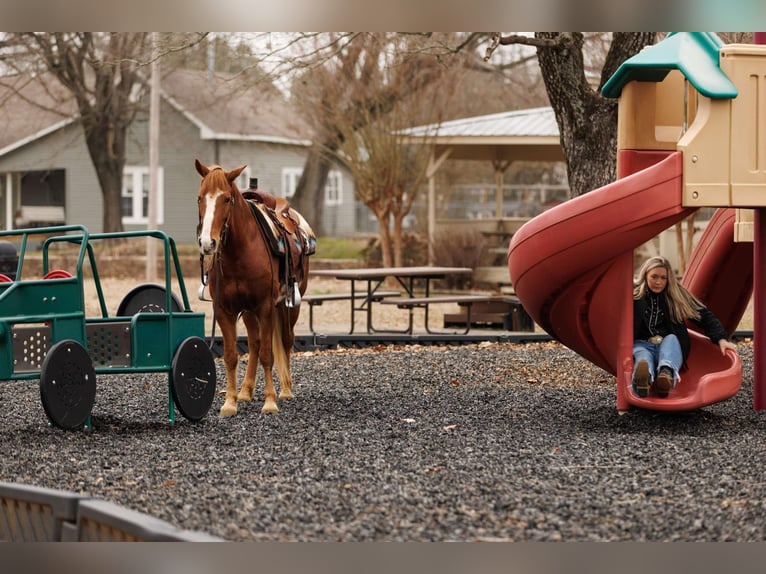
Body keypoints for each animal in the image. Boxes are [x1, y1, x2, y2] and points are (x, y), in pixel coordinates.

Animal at [196, 160, 314, 416]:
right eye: (200, 197)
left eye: (226, 199)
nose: (208, 243)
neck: (240, 252)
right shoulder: (225, 311)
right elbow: (231, 356)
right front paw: (230, 402)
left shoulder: (265, 307)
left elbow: (268, 355)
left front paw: (270, 402)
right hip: (249, 312)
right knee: (254, 343)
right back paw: (245, 391)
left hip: (290, 306)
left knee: (285, 340)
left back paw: (285, 389)